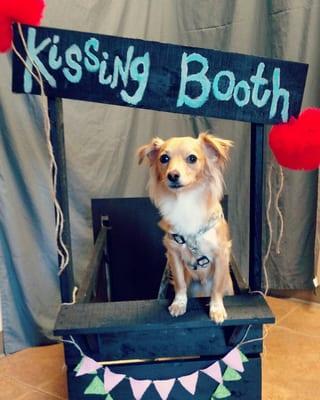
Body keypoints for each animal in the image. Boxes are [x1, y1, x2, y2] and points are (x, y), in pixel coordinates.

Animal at [139, 133, 234, 324]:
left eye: (192, 159)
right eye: (164, 158)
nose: (172, 175)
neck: (186, 201)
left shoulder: (221, 254)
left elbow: (217, 288)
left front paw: (217, 308)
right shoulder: (173, 254)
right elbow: (180, 283)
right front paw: (179, 304)